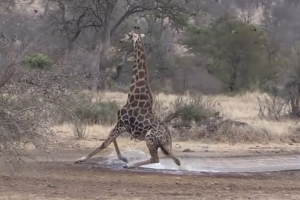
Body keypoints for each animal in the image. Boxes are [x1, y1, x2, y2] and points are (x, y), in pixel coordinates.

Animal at [74, 25, 180, 169]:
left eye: (128, 34)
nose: (120, 40)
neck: (132, 94)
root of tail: (168, 137)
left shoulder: (121, 123)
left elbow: (105, 143)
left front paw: (82, 159)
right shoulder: (123, 125)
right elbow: (111, 139)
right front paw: (123, 158)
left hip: (150, 138)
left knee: (156, 158)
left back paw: (130, 165)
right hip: (165, 146)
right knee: (175, 159)